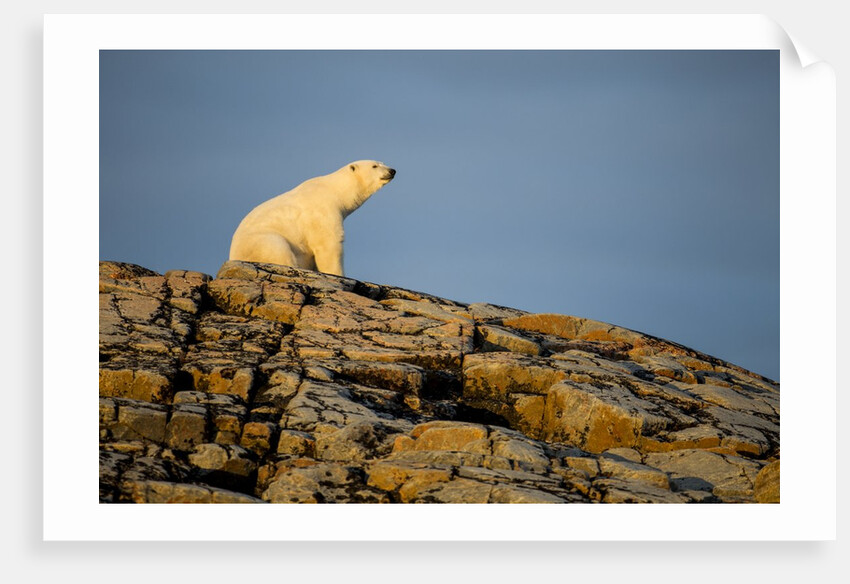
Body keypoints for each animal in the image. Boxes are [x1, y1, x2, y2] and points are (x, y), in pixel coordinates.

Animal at [228, 160, 396, 277]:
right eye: (375, 166)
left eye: (382, 162)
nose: (392, 170)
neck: (335, 191)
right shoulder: (322, 212)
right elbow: (328, 244)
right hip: (261, 240)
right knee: (277, 248)